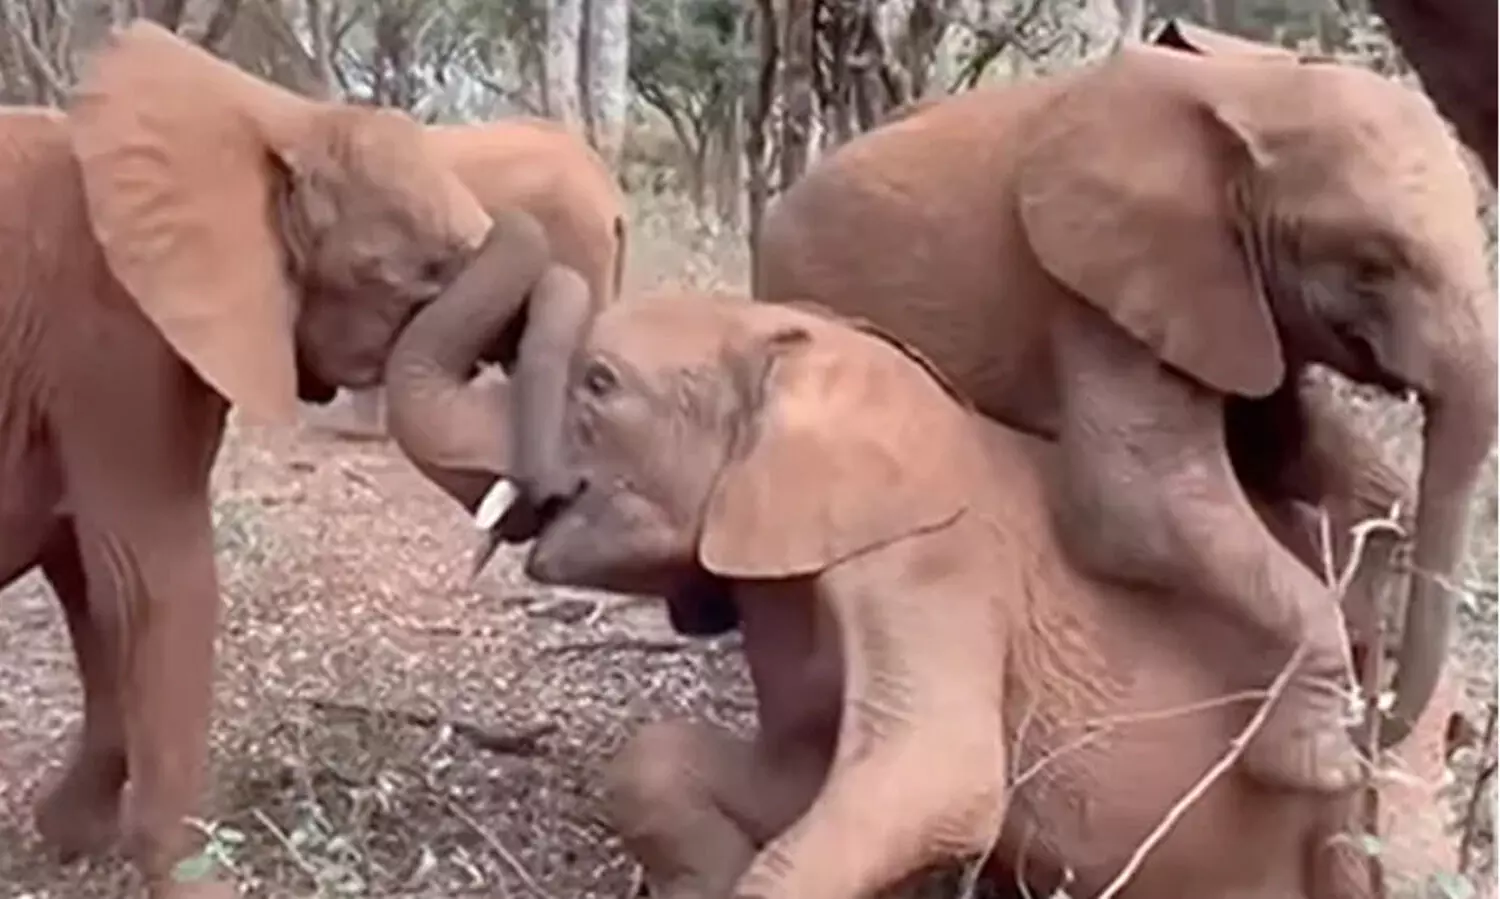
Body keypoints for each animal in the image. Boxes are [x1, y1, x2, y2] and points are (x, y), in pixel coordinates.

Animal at [0, 22, 587, 898]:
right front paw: (196, 878)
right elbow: (152, 577)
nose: (547, 493)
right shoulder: (114, 334)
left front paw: (71, 833)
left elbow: (91, 583)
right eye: (417, 275)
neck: (273, 117)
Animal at [751, 34, 1496, 796]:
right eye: (1373, 264)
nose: (1379, 720)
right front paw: (1320, 764)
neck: (1253, 97)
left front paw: (1368, 601)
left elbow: (1279, 444)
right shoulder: (1099, 286)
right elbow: (1137, 502)